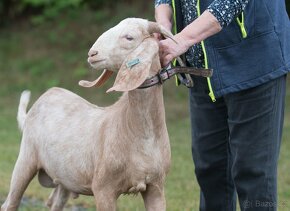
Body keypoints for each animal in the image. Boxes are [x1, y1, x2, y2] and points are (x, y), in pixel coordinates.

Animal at [1, 18, 174, 211]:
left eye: (129, 37)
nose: (92, 53)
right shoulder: (103, 188)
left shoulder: (156, 187)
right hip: (25, 160)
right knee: (10, 203)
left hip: (64, 179)